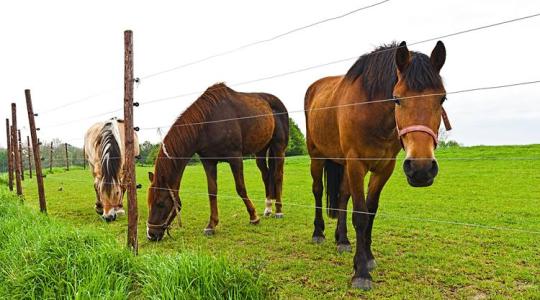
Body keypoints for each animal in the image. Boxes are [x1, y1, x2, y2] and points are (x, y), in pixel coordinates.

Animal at [146, 82, 288, 241]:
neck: (208, 122)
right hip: (261, 152)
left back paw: (278, 210)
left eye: (160, 203)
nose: (151, 234)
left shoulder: (235, 158)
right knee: (266, 175)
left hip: (278, 148)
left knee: (277, 176)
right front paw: (211, 225)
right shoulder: (209, 162)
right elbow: (212, 192)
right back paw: (268, 208)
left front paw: (253, 217)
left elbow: (240, 188)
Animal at [306, 41, 450, 290]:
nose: (421, 169)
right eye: (397, 99)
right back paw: (318, 233)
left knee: (343, 196)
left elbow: (370, 211)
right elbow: (360, 215)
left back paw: (342, 240)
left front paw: (367, 258)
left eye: (442, 99)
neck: (371, 113)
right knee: (317, 191)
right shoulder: (356, 165)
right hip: (317, 157)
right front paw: (361, 273)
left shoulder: (384, 168)